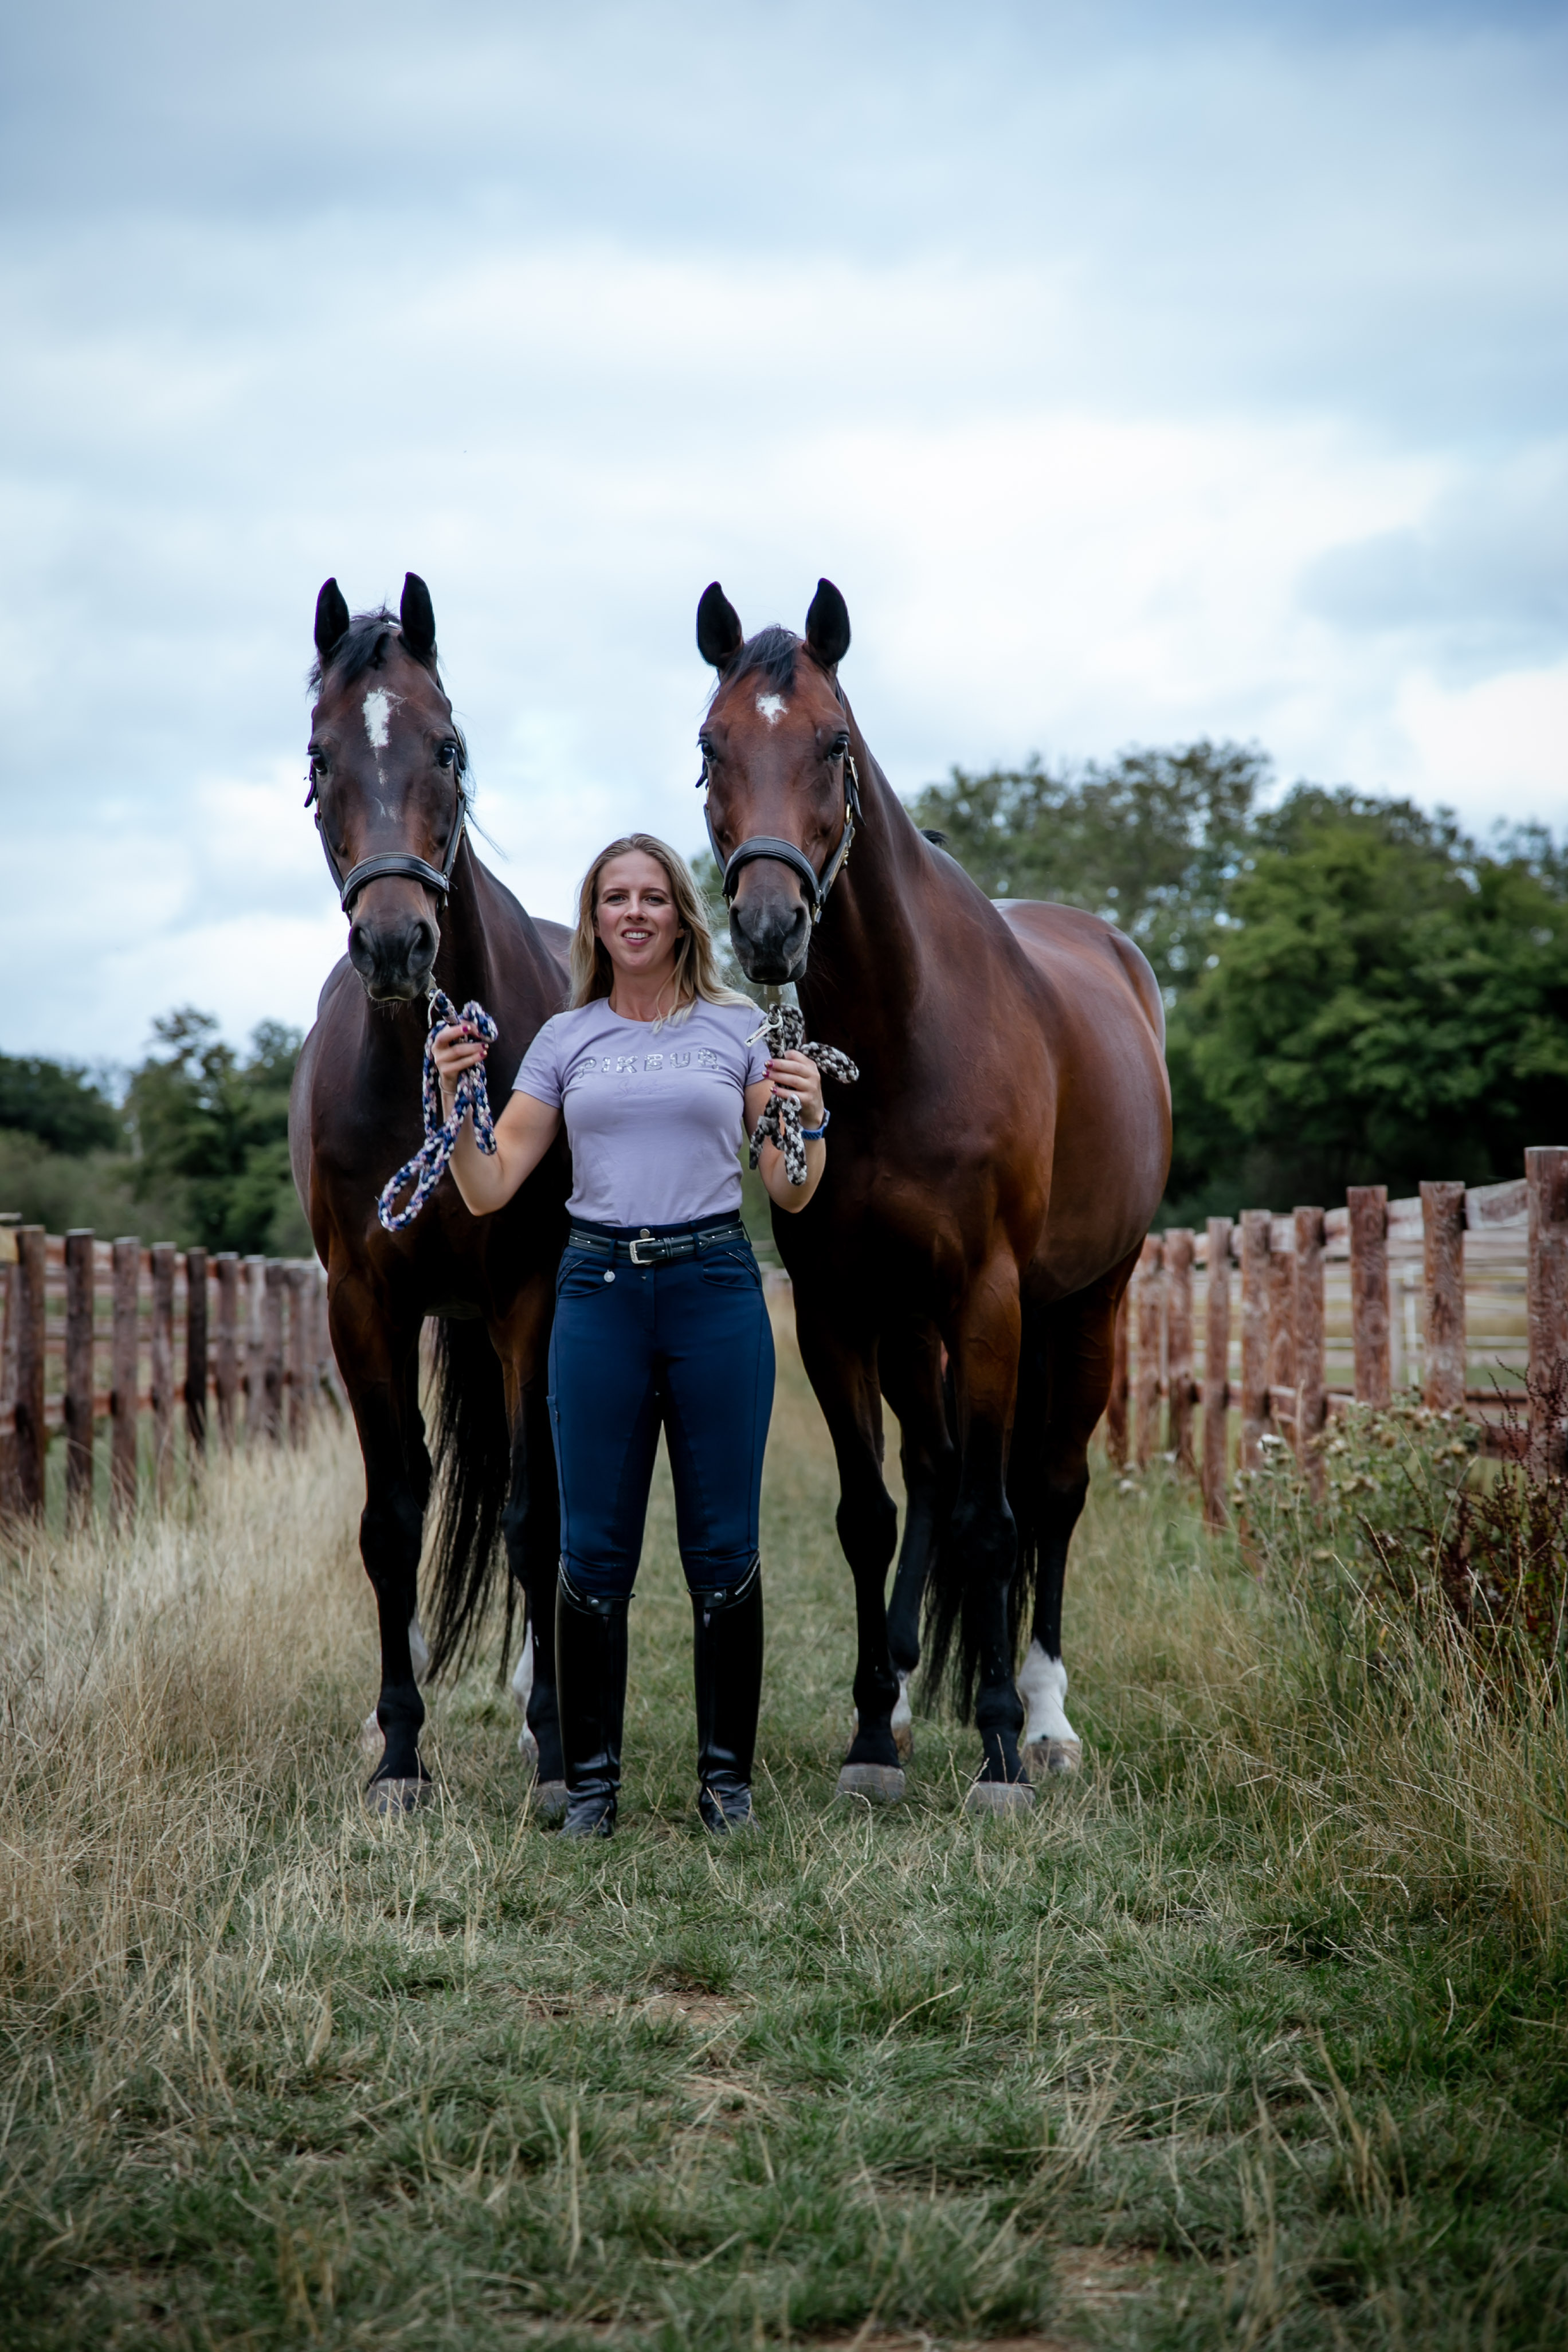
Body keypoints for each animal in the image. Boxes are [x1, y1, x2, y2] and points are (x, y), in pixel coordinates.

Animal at [695, 578, 1171, 1808]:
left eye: (834, 741)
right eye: (712, 744)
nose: (768, 926)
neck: (905, 1032)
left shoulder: (992, 1300)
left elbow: (994, 1525)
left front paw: (1001, 1744)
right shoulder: (836, 1306)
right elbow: (873, 1513)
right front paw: (872, 1729)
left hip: (1086, 1304)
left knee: (1048, 1490)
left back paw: (1046, 1717)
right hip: (915, 1325)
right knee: (934, 1470)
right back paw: (909, 1696)